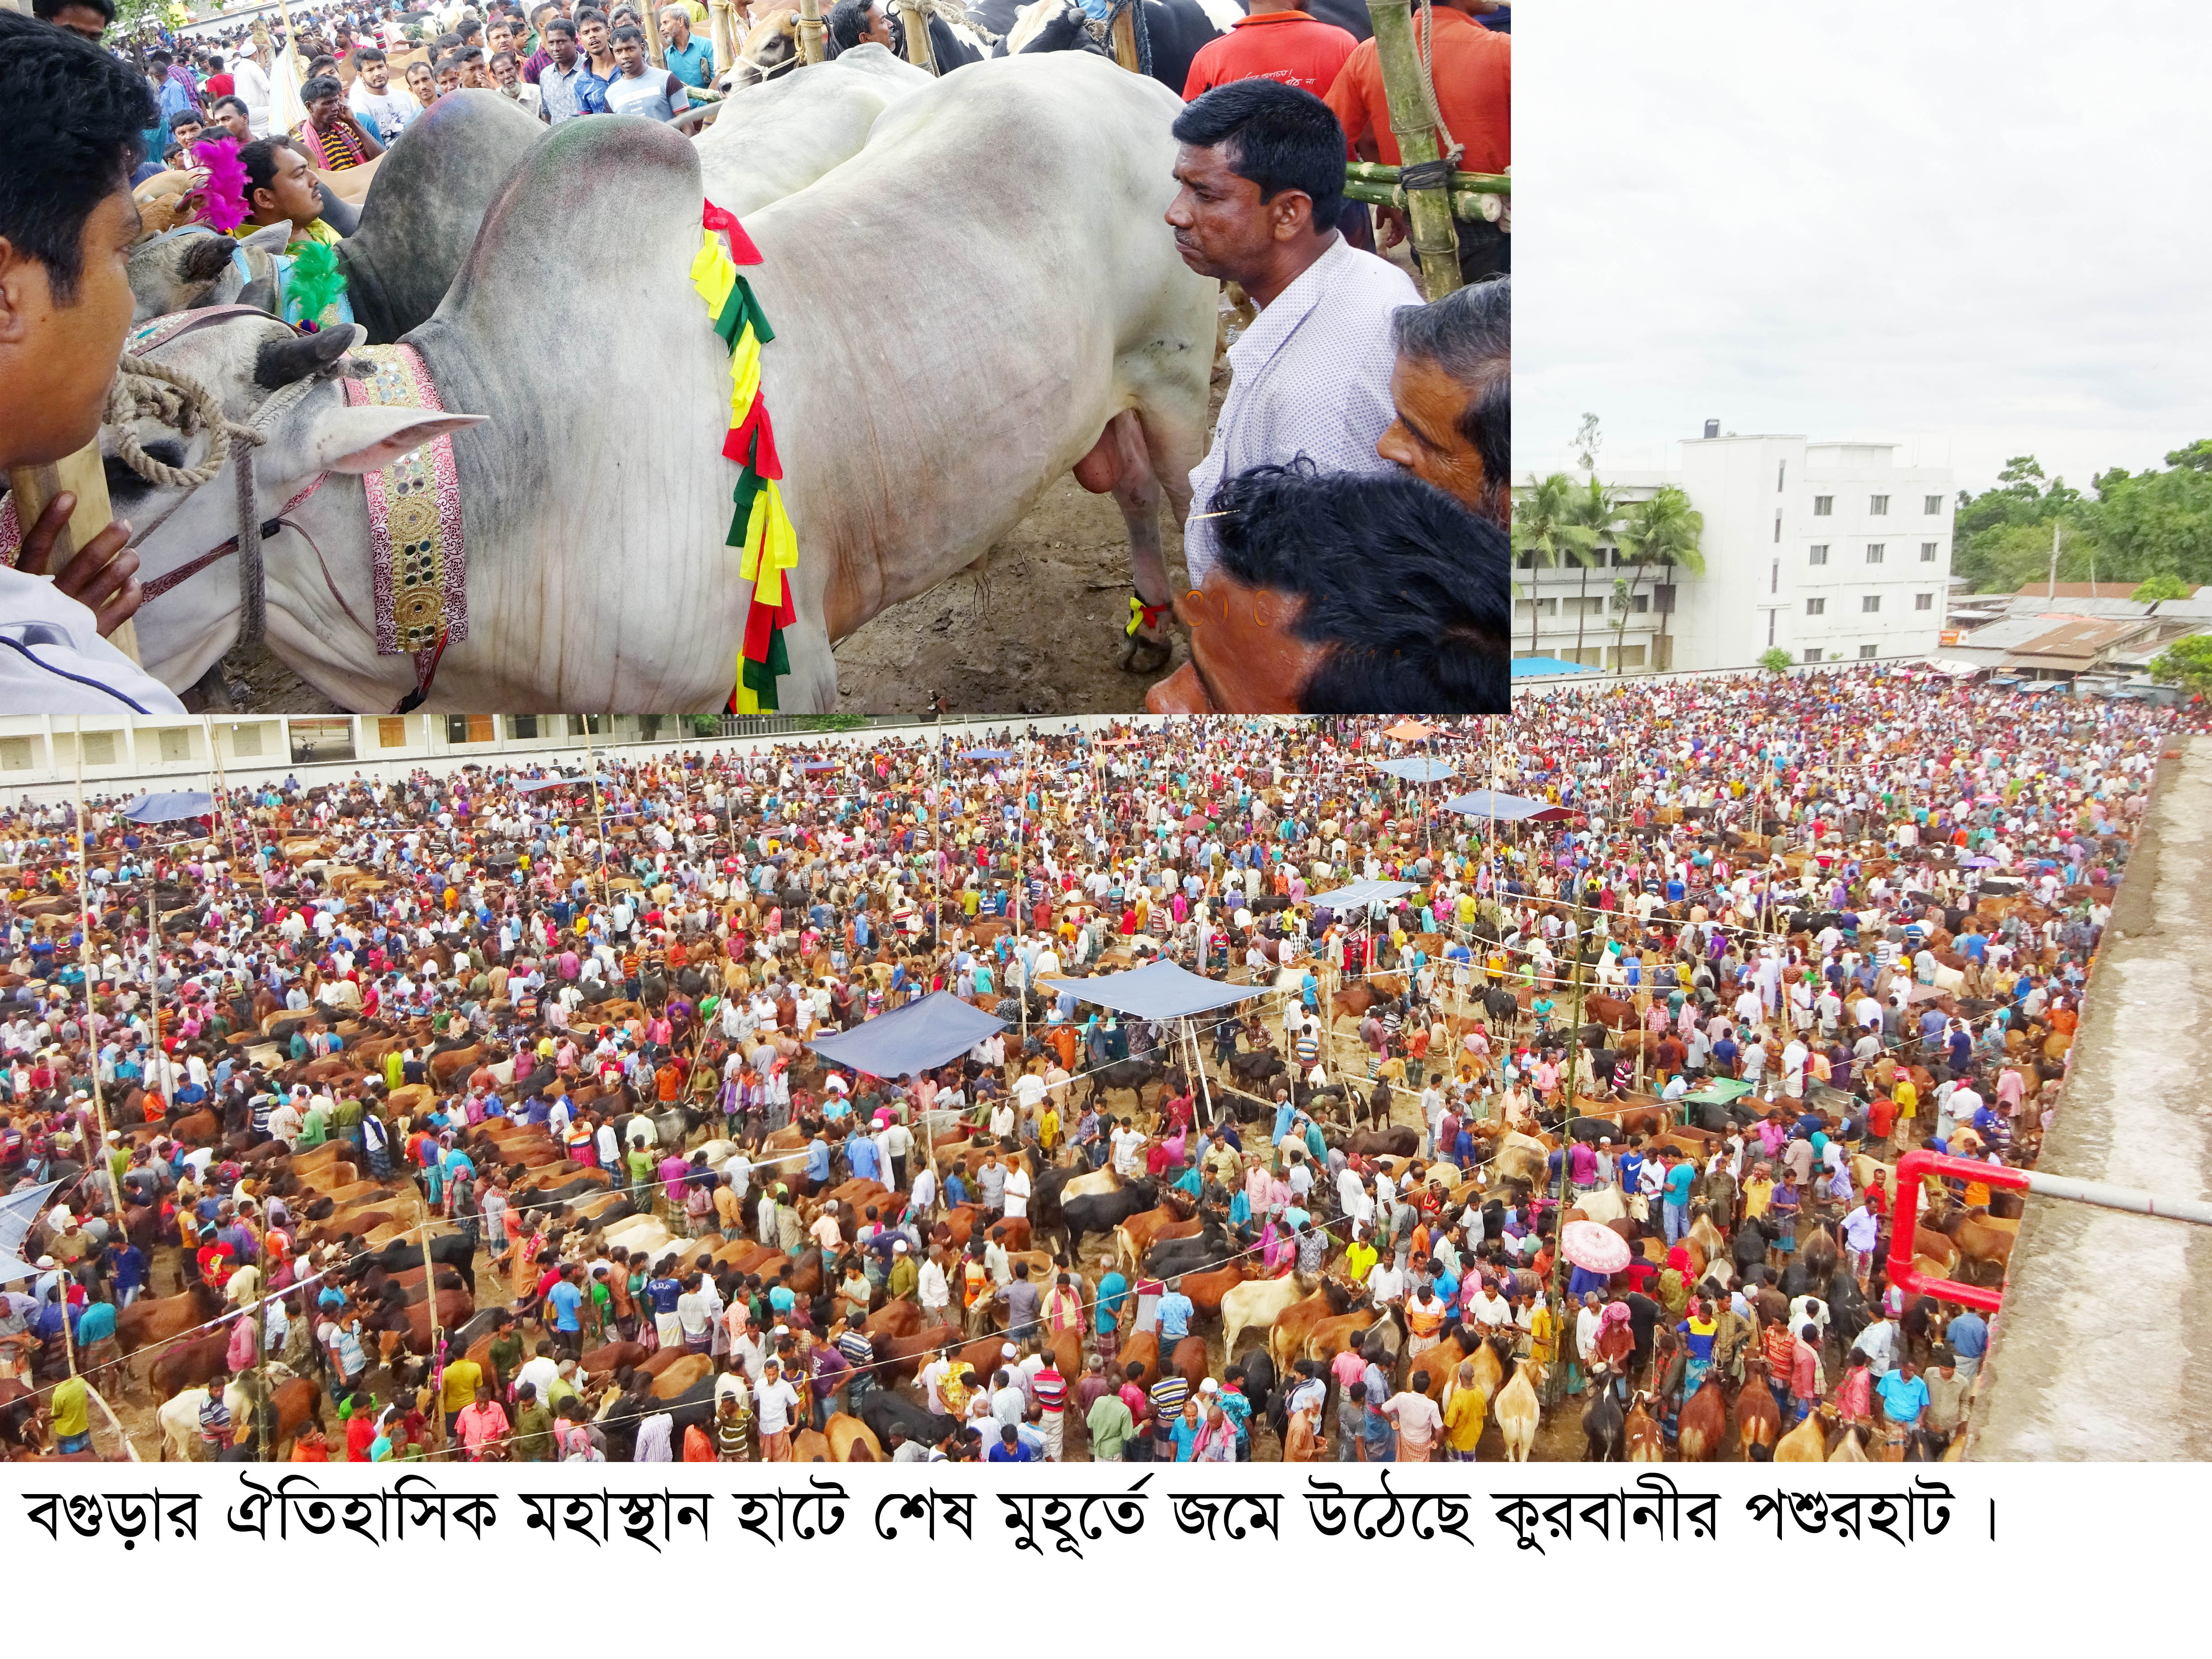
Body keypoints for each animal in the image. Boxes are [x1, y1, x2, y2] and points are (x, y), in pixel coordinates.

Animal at [117, 52, 1212, 712]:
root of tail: (1133, 85)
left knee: (1178, 495)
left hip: (1176, 386)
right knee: (1128, 492)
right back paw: (1148, 625)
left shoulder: (786, 676)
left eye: (156, 458)